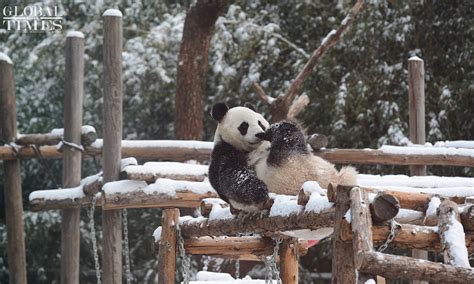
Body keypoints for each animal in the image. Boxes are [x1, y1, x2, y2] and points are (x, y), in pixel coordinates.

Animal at [209, 103, 358, 212]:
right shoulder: (224, 153)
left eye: (259, 122)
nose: (259, 134)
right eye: (244, 126)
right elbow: (232, 175)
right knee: (287, 143)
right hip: (284, 168)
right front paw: (259, 190)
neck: (251, 148)